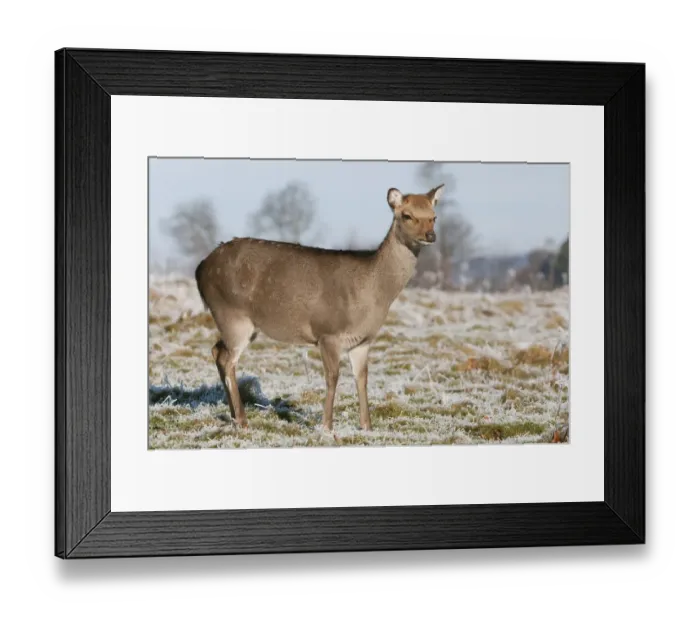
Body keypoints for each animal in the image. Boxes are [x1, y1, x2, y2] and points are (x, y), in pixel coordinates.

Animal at [195, 183, 444, 432]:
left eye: (433, 217)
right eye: (407, 215)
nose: (430, 235)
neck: (373, 294)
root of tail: (200, 268)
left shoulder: (363, 341)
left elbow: (362, 378)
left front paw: (367, 427)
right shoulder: (328, 332)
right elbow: (332, 377)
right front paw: (326, 426)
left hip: (243, 323)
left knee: (217, 351)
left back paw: (234, 416)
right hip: (232, 314)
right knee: (227, 359)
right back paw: (243, 420)